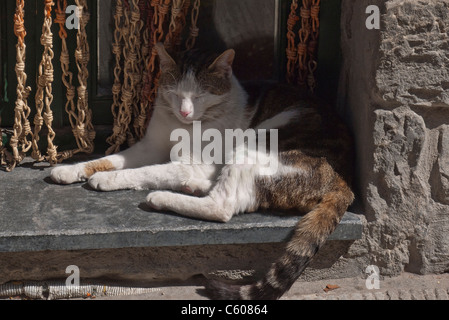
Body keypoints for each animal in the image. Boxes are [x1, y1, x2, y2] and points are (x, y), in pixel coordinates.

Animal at [50, 42, 354, 300]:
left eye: (199, 96)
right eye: (174, 94)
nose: (185, 112)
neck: (183, 126)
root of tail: (342, 180)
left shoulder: (190, 161)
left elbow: (146, 172)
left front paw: (106, 179)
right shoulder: (150, 147)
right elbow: (111, 158)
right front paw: (70, 170)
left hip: (255, 144)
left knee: (222, 206)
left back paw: (162, 198)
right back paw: (191, 189)